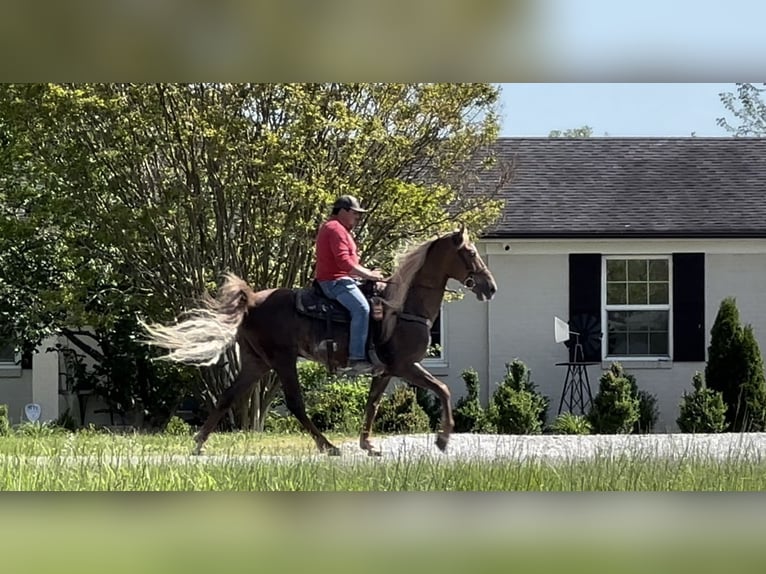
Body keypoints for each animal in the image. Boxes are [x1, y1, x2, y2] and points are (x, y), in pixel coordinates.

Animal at [140, 227, 498, 456]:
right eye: (469, 252)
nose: (490, 286)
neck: (403, 308)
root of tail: (252, 301)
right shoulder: (406, 366)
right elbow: (444, 389)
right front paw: (443, 439)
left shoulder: (386, 370)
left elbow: (373, 403)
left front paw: (368, 445)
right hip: (283, 360)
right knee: (295, 404)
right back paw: (328, 446)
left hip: (257, 362)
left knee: (228, 396)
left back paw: (199, 443)